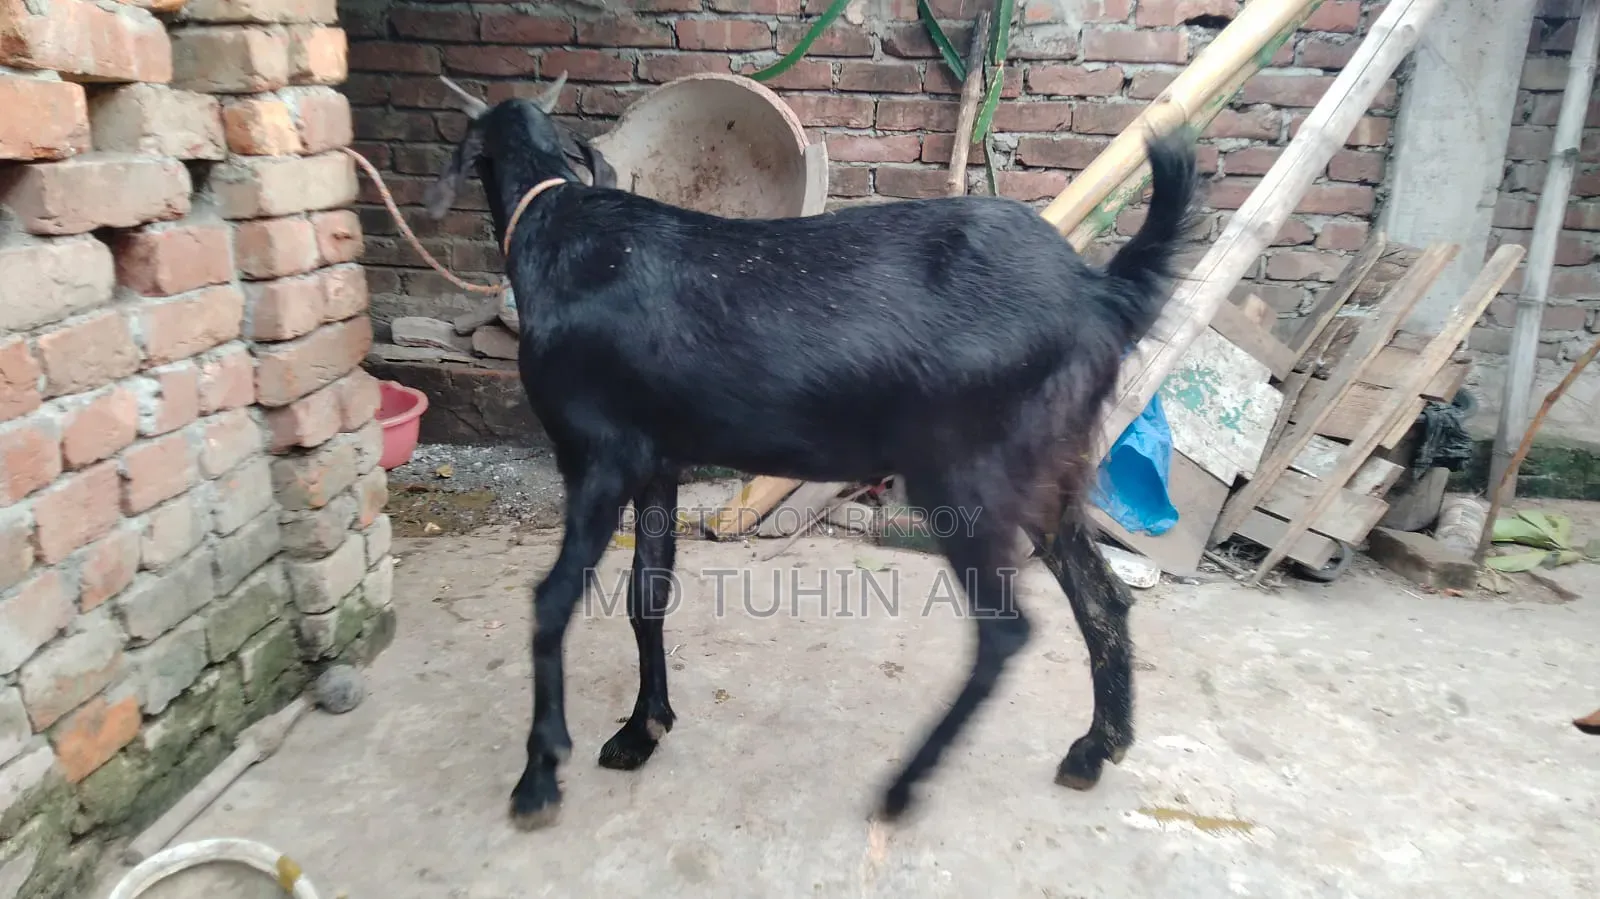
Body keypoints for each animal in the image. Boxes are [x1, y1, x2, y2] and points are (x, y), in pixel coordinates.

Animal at [423, 73, 1201, 830]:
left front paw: (539, 773)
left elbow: (552, 600)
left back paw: (905, 784)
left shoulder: (596, 454)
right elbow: (649, 593)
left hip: (965, 475)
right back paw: (1097, 747)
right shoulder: (659, 460)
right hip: (1045, 468)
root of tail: (1096, 291)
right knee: (1102, 597)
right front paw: (643, 728)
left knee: (1005, 631)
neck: (558, 230)